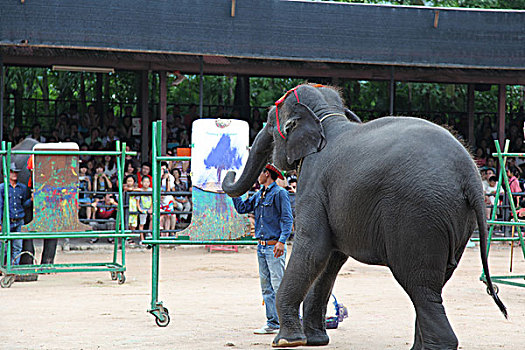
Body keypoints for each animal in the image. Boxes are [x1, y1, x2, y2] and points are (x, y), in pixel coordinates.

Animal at [222, 83, 508, 348]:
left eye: (271, 123)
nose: (229, 171)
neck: (326, 116)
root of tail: (471, 175)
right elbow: (331, 259)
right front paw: (315, 341)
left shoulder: (313, 186)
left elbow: (313, 249)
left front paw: (286, 341)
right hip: (454, 221)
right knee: (433, 288)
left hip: (419, 216)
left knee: (420, 285)